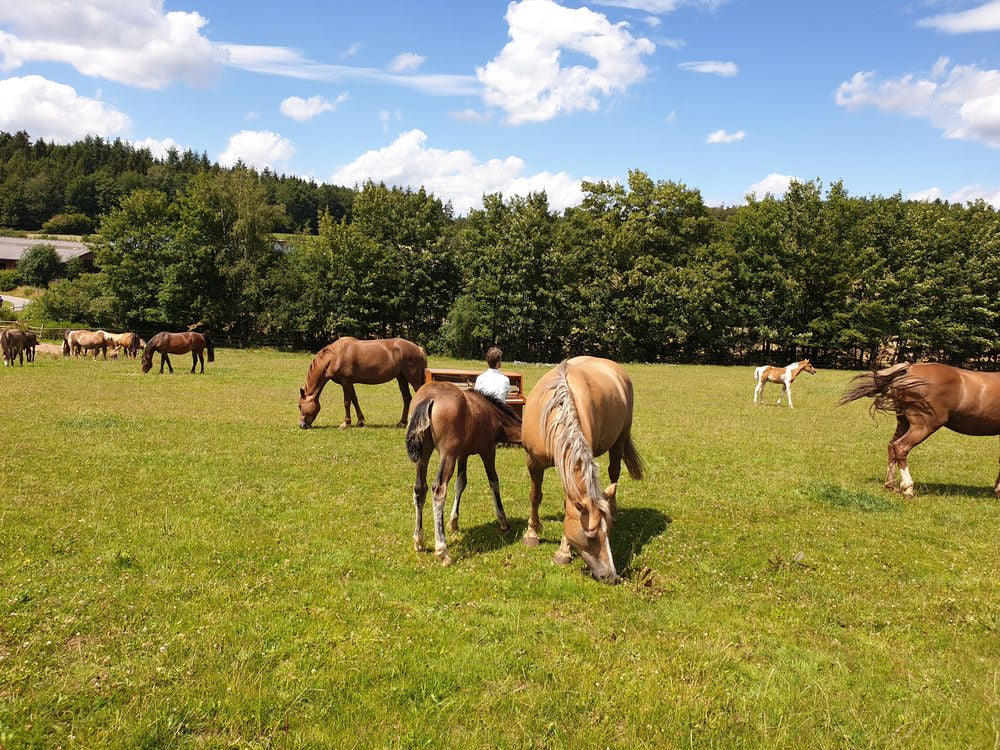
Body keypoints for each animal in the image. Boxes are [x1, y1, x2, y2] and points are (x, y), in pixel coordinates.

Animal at [294, 338, 424, 432]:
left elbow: (347, 402)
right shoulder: (350, 383)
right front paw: (360, 421)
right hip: (401, 378)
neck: (335, 357)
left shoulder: (346, 382)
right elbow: (355, 400)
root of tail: (418, 348)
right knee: (407, 398)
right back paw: (402, 422)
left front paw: (346, 423)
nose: (302, 425)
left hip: (414, 379)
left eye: (300, 406)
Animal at [404, 384, 524, 568]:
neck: (492, 412)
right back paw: (442, 550)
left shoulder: (463, 454)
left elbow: (460, 483)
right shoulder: (488, 450)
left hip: (424, 454)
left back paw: (419, 541)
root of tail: (429, 398)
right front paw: (503, 521)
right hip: (447, 454)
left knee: (420, 489)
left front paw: (454, 522)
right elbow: (494, 481)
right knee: (438, 490)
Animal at [520, 356, 644, 584]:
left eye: (609, 533)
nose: (612, 576)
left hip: (619, 440)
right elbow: (535, 496)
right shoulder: (533, 462)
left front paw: (563, 551)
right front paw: (532, 534)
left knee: (614, 473)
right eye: (590, 537)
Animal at [840, 362, 1000, 500]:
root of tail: (908, 370)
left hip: (903, 422)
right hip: (924, 426)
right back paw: (908, 488)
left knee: (891, 446)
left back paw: (890, 485)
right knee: (900, 447)